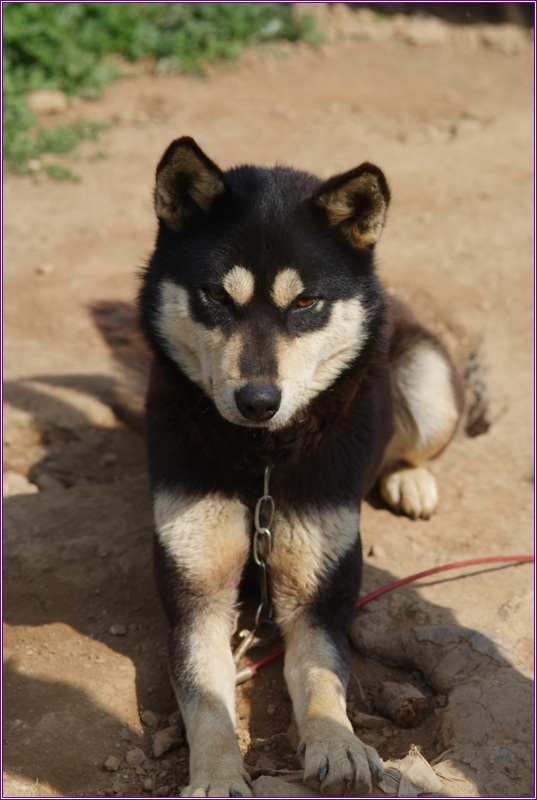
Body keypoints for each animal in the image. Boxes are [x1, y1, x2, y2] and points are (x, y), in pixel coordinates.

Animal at [137, 138, 460, 792]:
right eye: (216, 295)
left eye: (306, 301)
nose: (259, 402)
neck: (260, 461)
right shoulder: (196, 593)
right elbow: (207, 696)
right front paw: (217, 775)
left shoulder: (318, 594)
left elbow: (320, 675)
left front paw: (338, 744)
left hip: (430, 383)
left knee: (413, 438)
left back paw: (409, 479)